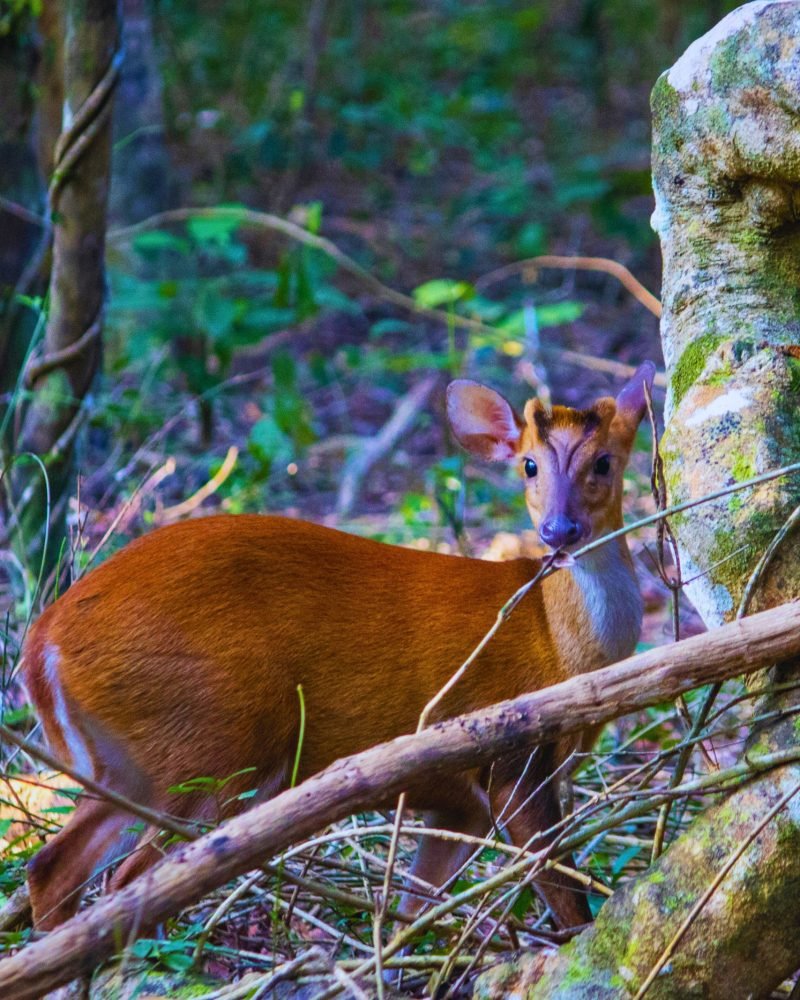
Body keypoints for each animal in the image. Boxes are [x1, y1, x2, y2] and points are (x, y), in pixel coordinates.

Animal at [22, 362, 654, 932]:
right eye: (529, 465)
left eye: (604, 461)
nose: (559, 530)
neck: (558, 644)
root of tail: (42, 644)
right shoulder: (512, 758)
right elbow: (566, 896)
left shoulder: (461, 803)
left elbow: (412, 914)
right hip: (212, 737)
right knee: (129, 881)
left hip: (129, 762)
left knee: (51, 866)